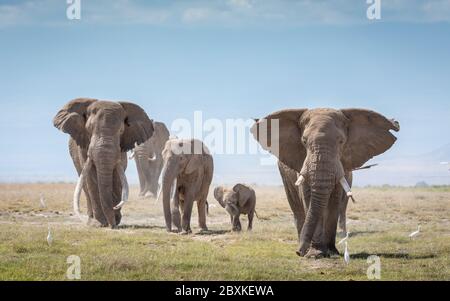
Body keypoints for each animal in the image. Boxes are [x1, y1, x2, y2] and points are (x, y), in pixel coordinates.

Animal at [53, 98, 153, 227]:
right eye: (89, 129)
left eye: (121, 131)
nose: (112, 225)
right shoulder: (84, 146)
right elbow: (92, 177)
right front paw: (100, 223)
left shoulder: (121, 148)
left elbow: (117, 177)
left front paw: (115, 220)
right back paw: (91, 220)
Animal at [250, 106, 400, 256]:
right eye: (304, 141)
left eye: (341, 141)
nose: (298, 252)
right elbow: (308, 197)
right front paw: (315, 254)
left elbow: (334, 199)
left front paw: (332, 252)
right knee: (296, 205)